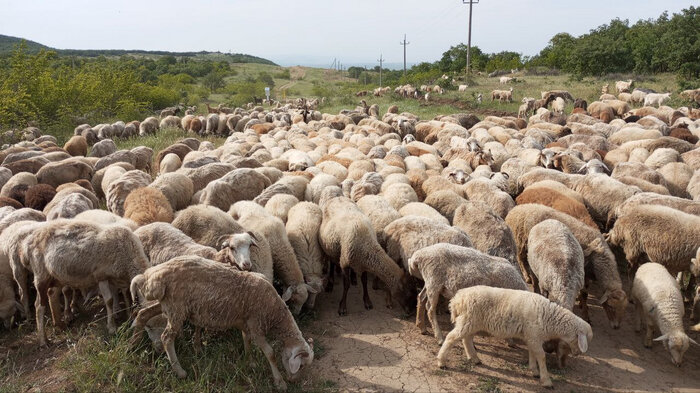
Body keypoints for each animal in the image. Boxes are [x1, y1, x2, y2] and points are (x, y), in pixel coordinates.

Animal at [129, 254, 314, 388]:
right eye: (301, 366)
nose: (294, 381)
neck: (275, 312)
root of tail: (154, 276)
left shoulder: (246, 323)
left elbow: (246, 341)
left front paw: (251, 362)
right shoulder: (256, 326)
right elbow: (270, 353)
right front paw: (280, 382)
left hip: (166, 304)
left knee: (142, 314)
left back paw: (132, 345)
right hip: (176, 309)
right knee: (166, 337)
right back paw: (179, 371)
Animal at [438, 284, 592, 388]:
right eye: (580, 340)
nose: (578, 354)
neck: (550, 317)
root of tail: (457, 299)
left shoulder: (531, 336)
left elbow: (532, 353)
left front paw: (534, 370)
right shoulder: (534, 335)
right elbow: (541, 356)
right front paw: (546, 380)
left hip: (471, 322)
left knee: (466, 339)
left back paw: (474, 358)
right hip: (468, 320)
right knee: (452, 337)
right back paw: (441, 361)